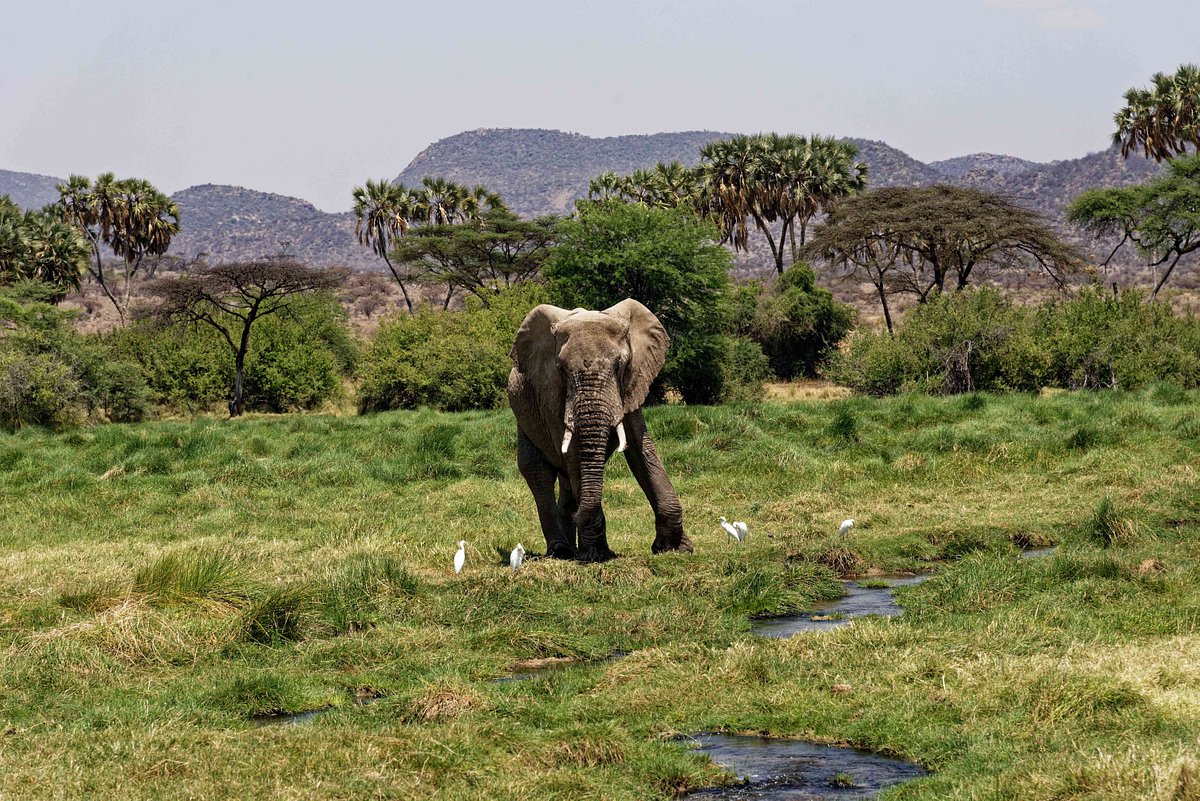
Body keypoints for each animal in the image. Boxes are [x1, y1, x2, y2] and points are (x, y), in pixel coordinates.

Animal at [506, 299, 696, 563]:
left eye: (620, 366)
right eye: (561, 369)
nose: (578, 513)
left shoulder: (632, 385)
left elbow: (642, 451)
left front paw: (674, 548)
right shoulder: (551, 396)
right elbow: (574, 456)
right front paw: (596, 555)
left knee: (565, 479)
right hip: (523, 415)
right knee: (537, 470)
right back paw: (562, 551)